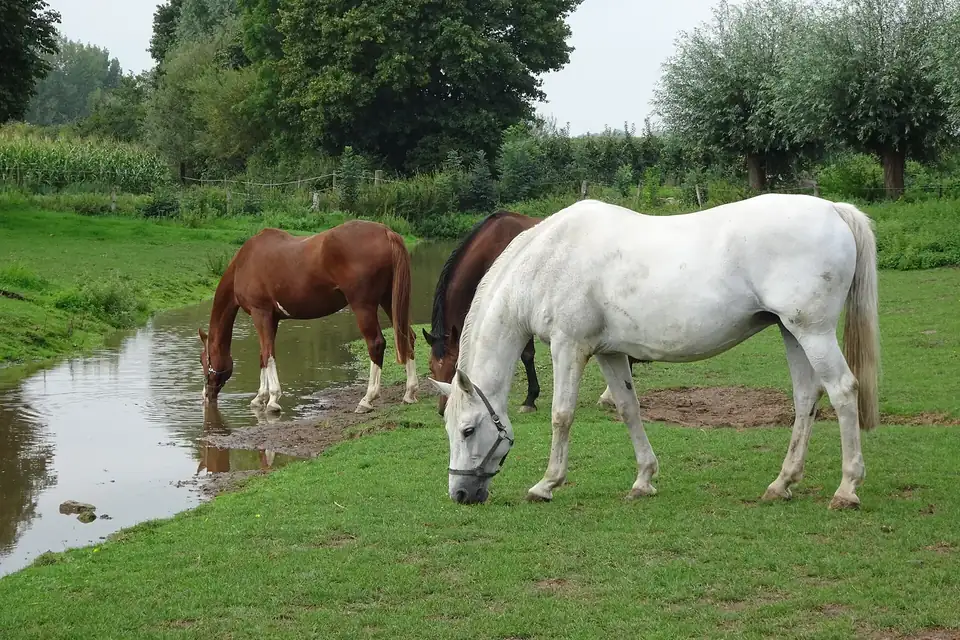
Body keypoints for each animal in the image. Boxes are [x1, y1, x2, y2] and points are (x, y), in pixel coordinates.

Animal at [199, 220, 419, 415]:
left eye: (203, 360)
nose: (206, 395)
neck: (244, 264)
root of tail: (386, 232)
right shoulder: (272, 319)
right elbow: (263, 355)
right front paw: (260, 397)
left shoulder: (260, 313)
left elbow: (268, 354)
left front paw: (272, 400)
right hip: (389, 300)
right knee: (407, 337)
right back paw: (409, 393)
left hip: (363, 306)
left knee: (376, 343)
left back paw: (367, 400)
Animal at [423, 209, 642, 417]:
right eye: (432, 368)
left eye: (454, 367)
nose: (443, 409)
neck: (491, 246)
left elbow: (527, 355)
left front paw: (530, 399)